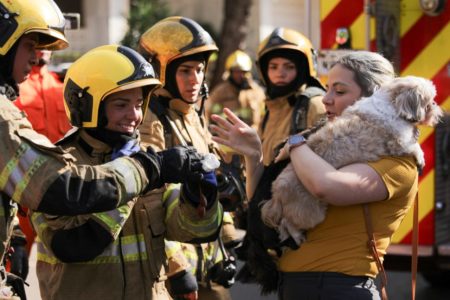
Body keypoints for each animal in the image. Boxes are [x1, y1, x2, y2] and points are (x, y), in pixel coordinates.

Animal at [260, 75, 442, 246]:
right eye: (428, 102)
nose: (436, 107)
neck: (392, 104)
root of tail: (276, 192)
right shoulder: (399, 142)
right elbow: (414, 146)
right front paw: (420, 157)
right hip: (311, 212)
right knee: (287, 222)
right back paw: (297, 236)